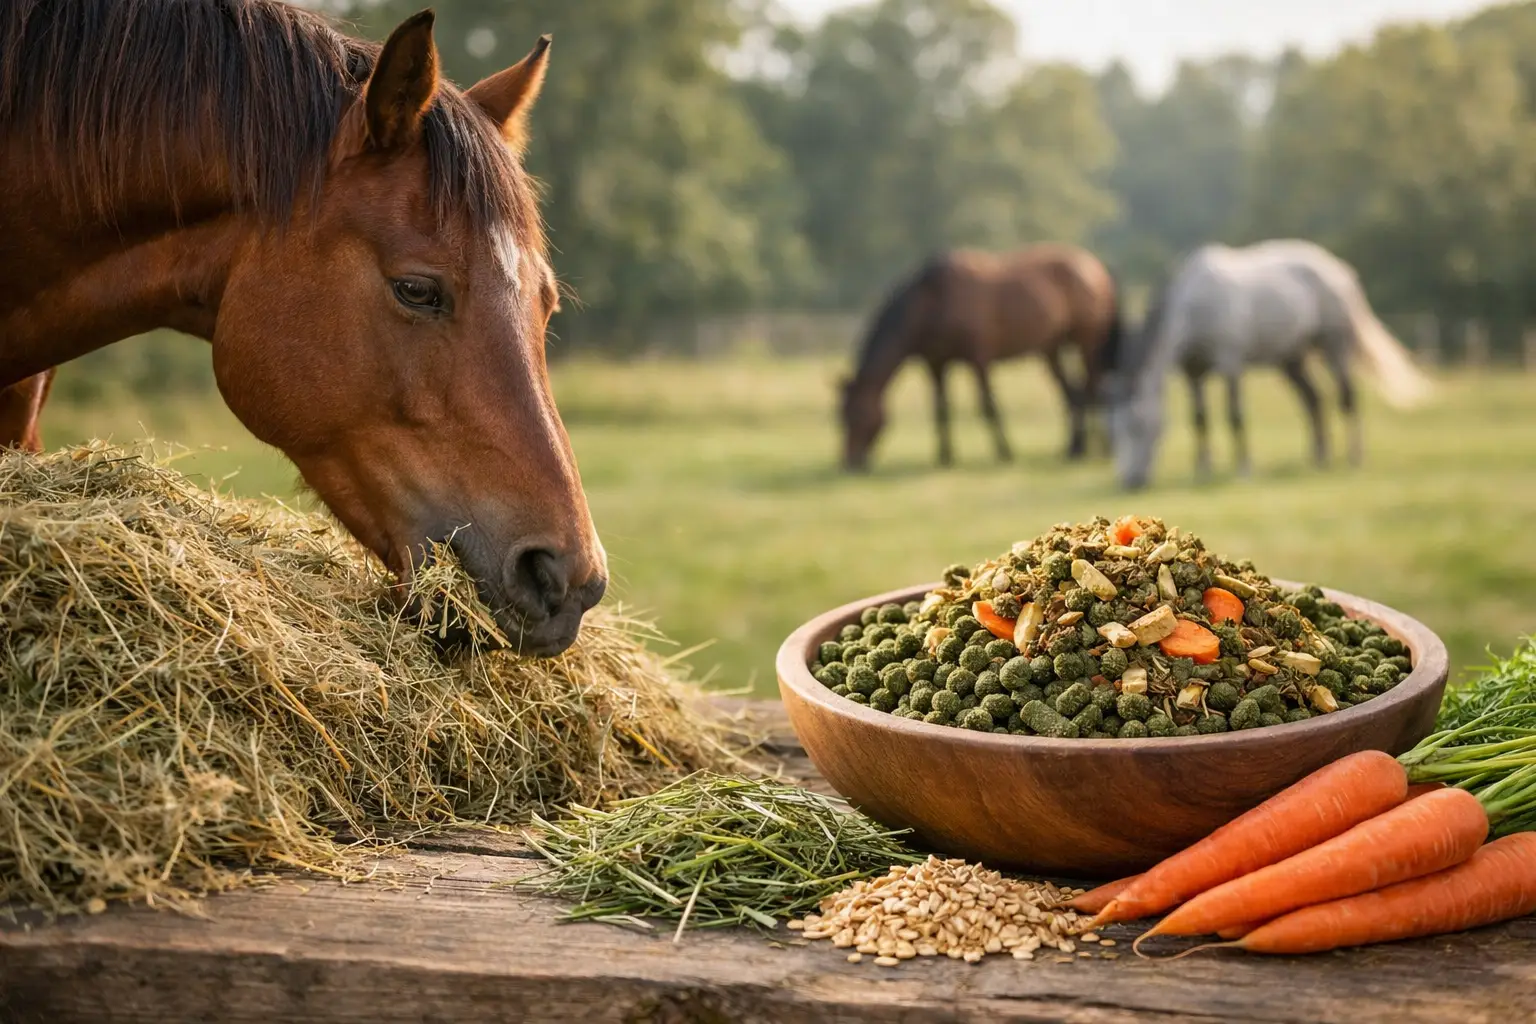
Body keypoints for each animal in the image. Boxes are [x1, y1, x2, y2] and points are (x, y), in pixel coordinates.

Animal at [839, 245, 1123, 471]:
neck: (933, 301)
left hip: (1088, 343)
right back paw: (1074, 448)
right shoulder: (936, 364)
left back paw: (1094, 448)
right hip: (1050, 350)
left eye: (858, 415)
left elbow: (988, 405)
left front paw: (1005, 453)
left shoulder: (979, 360)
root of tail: (1096, 268)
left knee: (1092, 388)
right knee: (1073, 393)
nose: (851, 463)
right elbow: (941, 409)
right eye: (840, 416)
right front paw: (945, 457)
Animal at [1108, 239, 1436, 490]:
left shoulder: (1231, 365)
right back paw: (1319, 458)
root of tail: (1340, 270)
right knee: (1313, 399)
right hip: (1291, 359)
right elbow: (1199, 419)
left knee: (1346, 396)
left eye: (1138, 426)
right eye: (1115, 429)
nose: (1131, 482)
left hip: (1335, 346)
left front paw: (1243, 469)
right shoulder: (1193, 374)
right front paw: (1203, 470)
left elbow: (1235, 416)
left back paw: (1354, 457)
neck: (1196, 307)